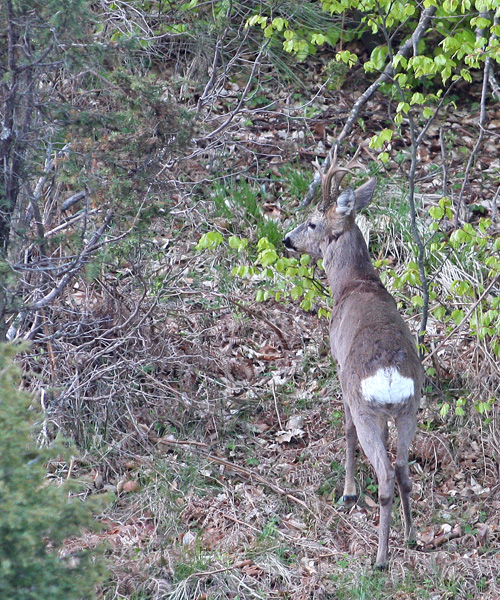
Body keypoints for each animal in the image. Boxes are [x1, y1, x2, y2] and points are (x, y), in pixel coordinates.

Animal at [286, 154, 422, 568]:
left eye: (313, 222)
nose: (287, 240)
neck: (353, 284)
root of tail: (390, 376)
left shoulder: (340, 370)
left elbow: (344, 432)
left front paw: (347, 492)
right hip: (409, 408)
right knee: (403, 469)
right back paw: (411, 536)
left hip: (367, 408)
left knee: (385, 474)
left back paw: (380, 558)